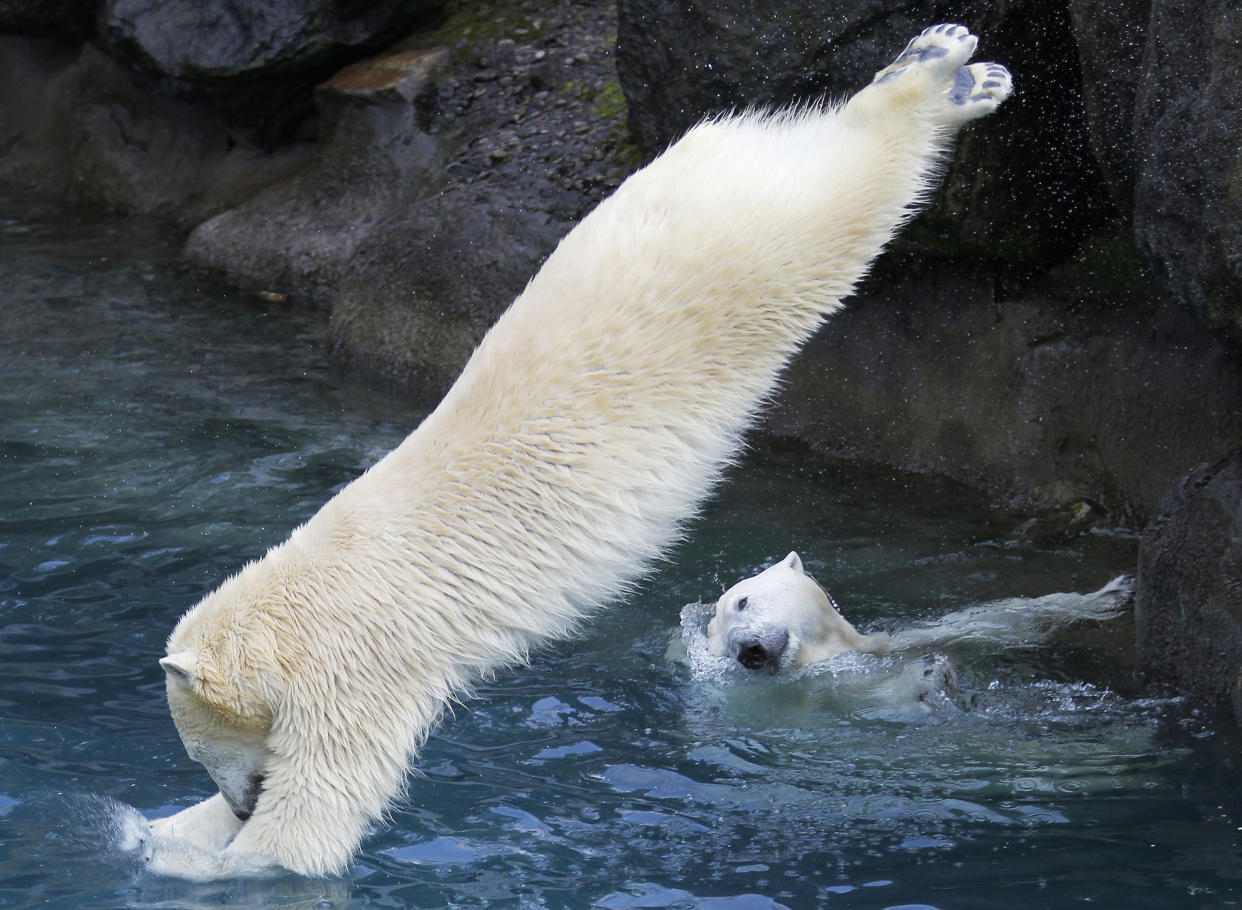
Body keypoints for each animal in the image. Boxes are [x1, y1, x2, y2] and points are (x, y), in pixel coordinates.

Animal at [140, 24, 1008, 878]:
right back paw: (943, 62)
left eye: (199, 746)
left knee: (846, 196)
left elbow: (315, 815)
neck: (304, 594)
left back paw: (944, 75)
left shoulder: (354, 667)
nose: (240, 797)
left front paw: (195, 852)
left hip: (749, 255)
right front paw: (165, 829)